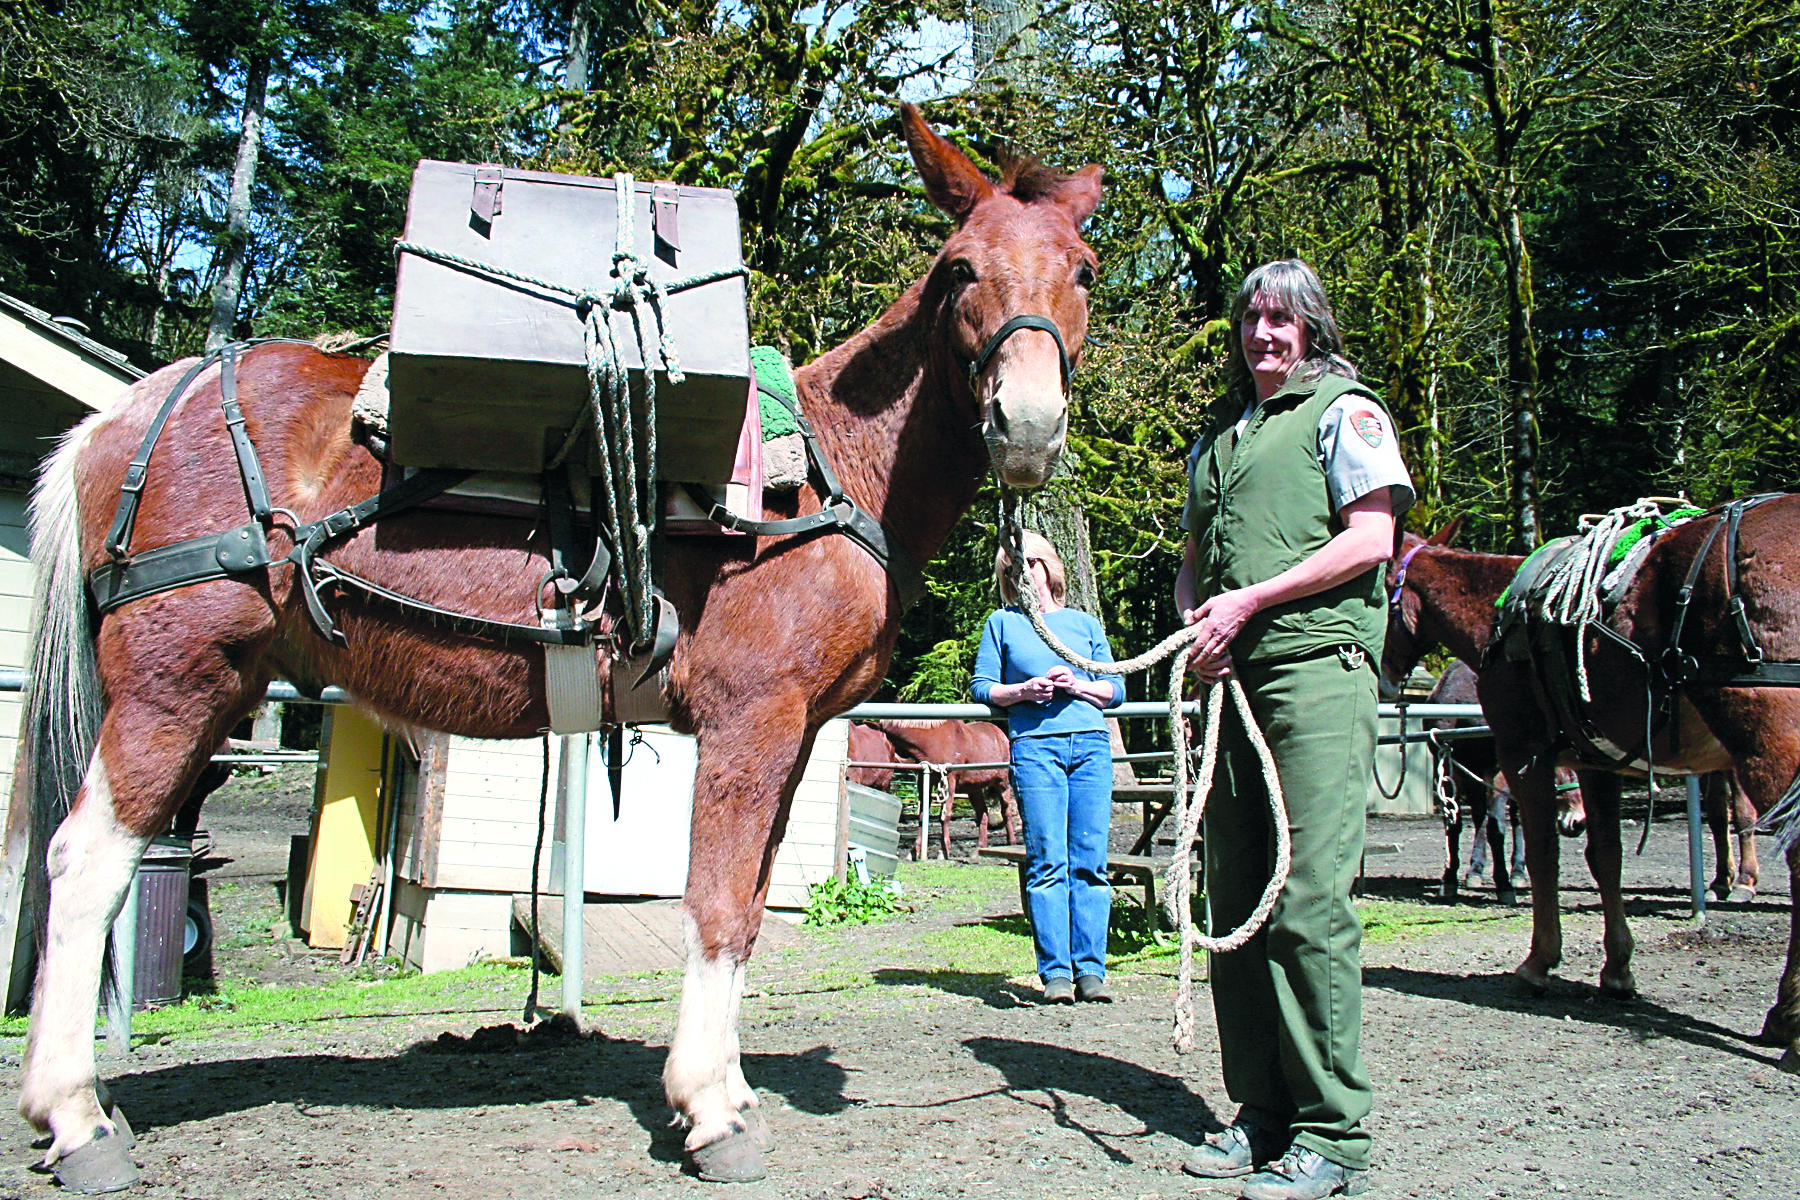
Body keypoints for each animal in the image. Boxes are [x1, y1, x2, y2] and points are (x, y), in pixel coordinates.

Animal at [874, 719, 1022, 859]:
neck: (931, 741)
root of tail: (1001, 734)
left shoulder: (949, 780)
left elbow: (945, 815)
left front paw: (943, 851)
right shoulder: (925, 781)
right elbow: (922, 816)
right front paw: (914, 851)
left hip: (1002, 783)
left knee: (1006, 811)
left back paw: (1011, 842)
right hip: (974, 789)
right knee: (983, 813)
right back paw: (980, 847)